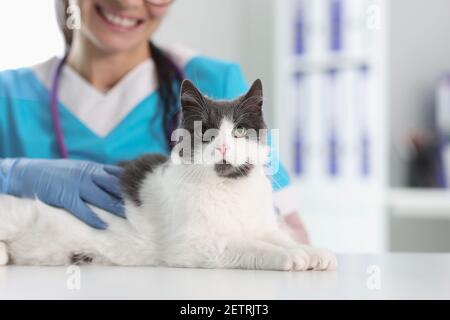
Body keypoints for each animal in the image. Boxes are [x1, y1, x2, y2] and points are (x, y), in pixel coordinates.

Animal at [0, 79, 338, 270]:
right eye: (206, 131)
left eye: (240, 130)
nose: (223, 147)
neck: (228, 189)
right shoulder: (195, 246)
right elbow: (251, 246)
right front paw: (290, 257)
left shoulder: (262, 226)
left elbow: (280, 237)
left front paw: (312, 252)